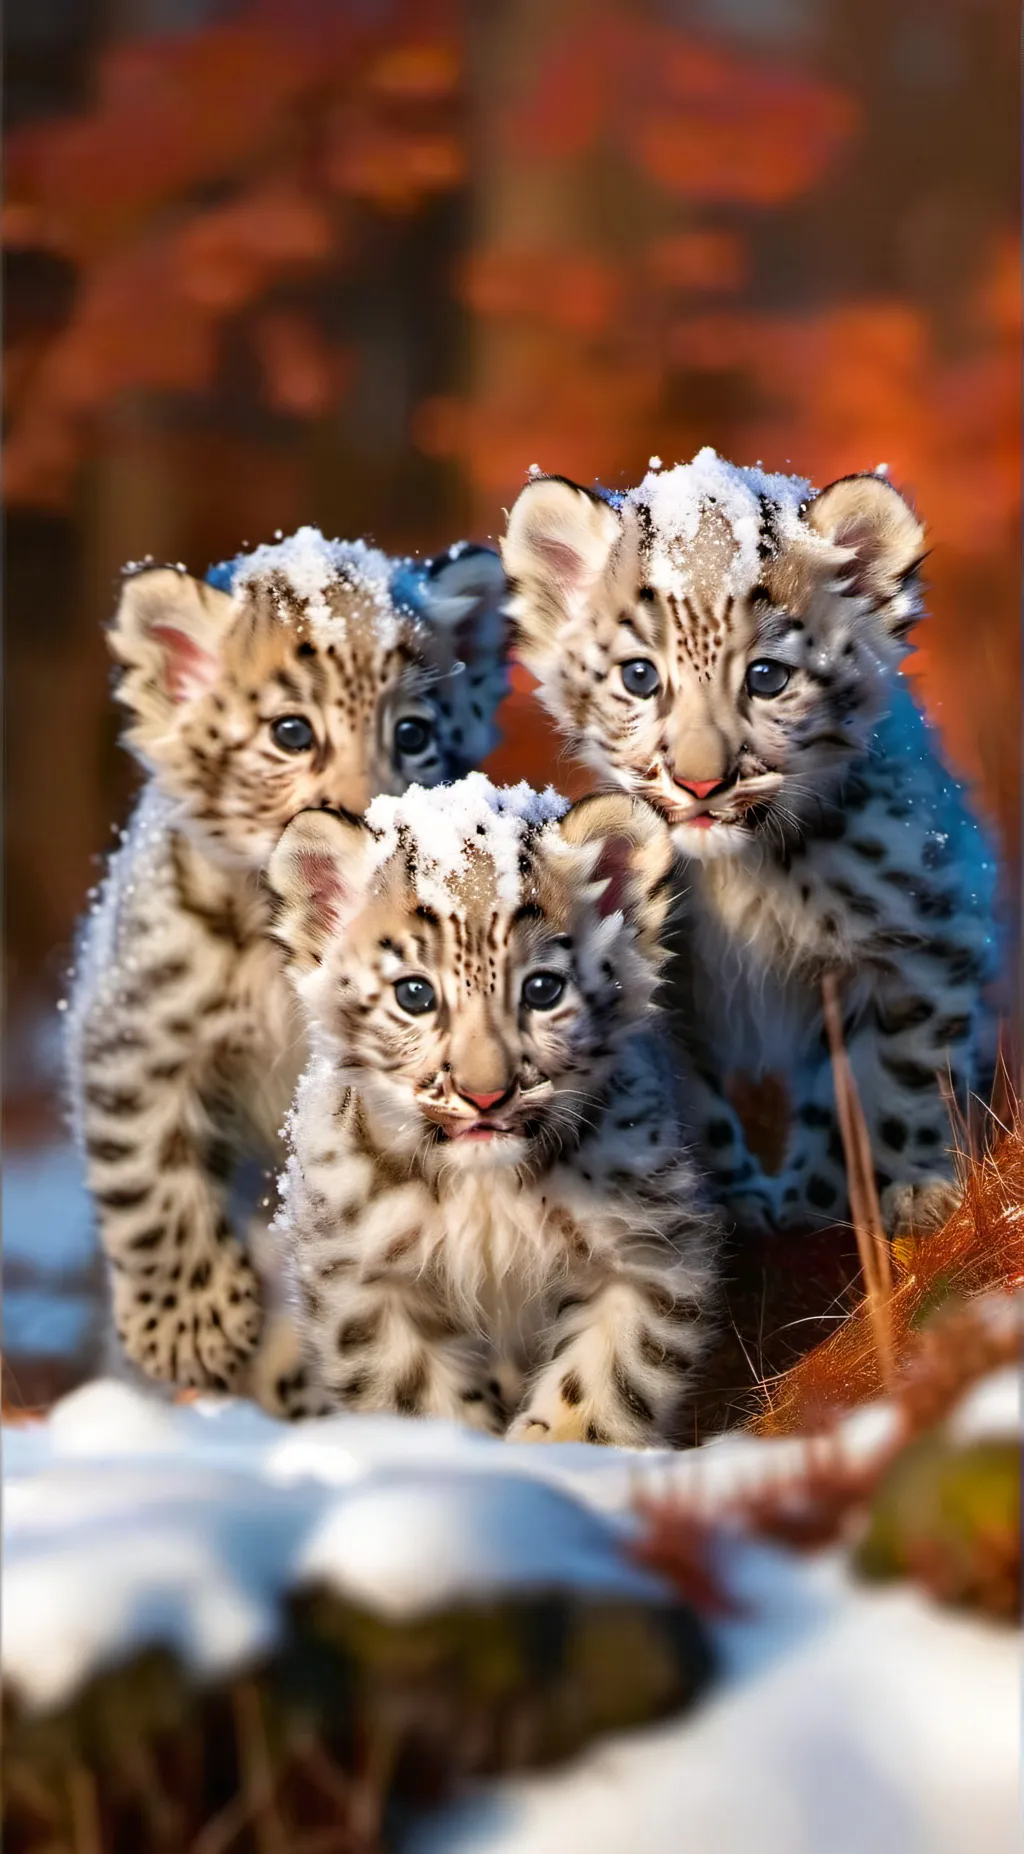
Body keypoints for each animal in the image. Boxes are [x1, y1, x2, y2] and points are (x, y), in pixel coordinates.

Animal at [66, 528, 508, 1413]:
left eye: (413, 732)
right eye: (292, 733)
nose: (368, 813)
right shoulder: (136, 1032)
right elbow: (147, 1175)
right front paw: (189, 1325)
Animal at [267, 774, 719, 1447]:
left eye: (543, 989)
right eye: (414, 993)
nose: (486, 1093)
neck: (488, 1201)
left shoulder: (648, 1249)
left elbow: (606, 1381)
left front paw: (552, 1454)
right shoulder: (363, 1280)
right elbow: (413, 1397)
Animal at [503, 450, 999, 1239]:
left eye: (768, 676)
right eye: (639, 675)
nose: (702, 782)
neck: (744, 881)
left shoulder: (917, 943)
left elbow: (895, 1078)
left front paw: (898, 1195)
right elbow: (692, 1105)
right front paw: (730, 1205)